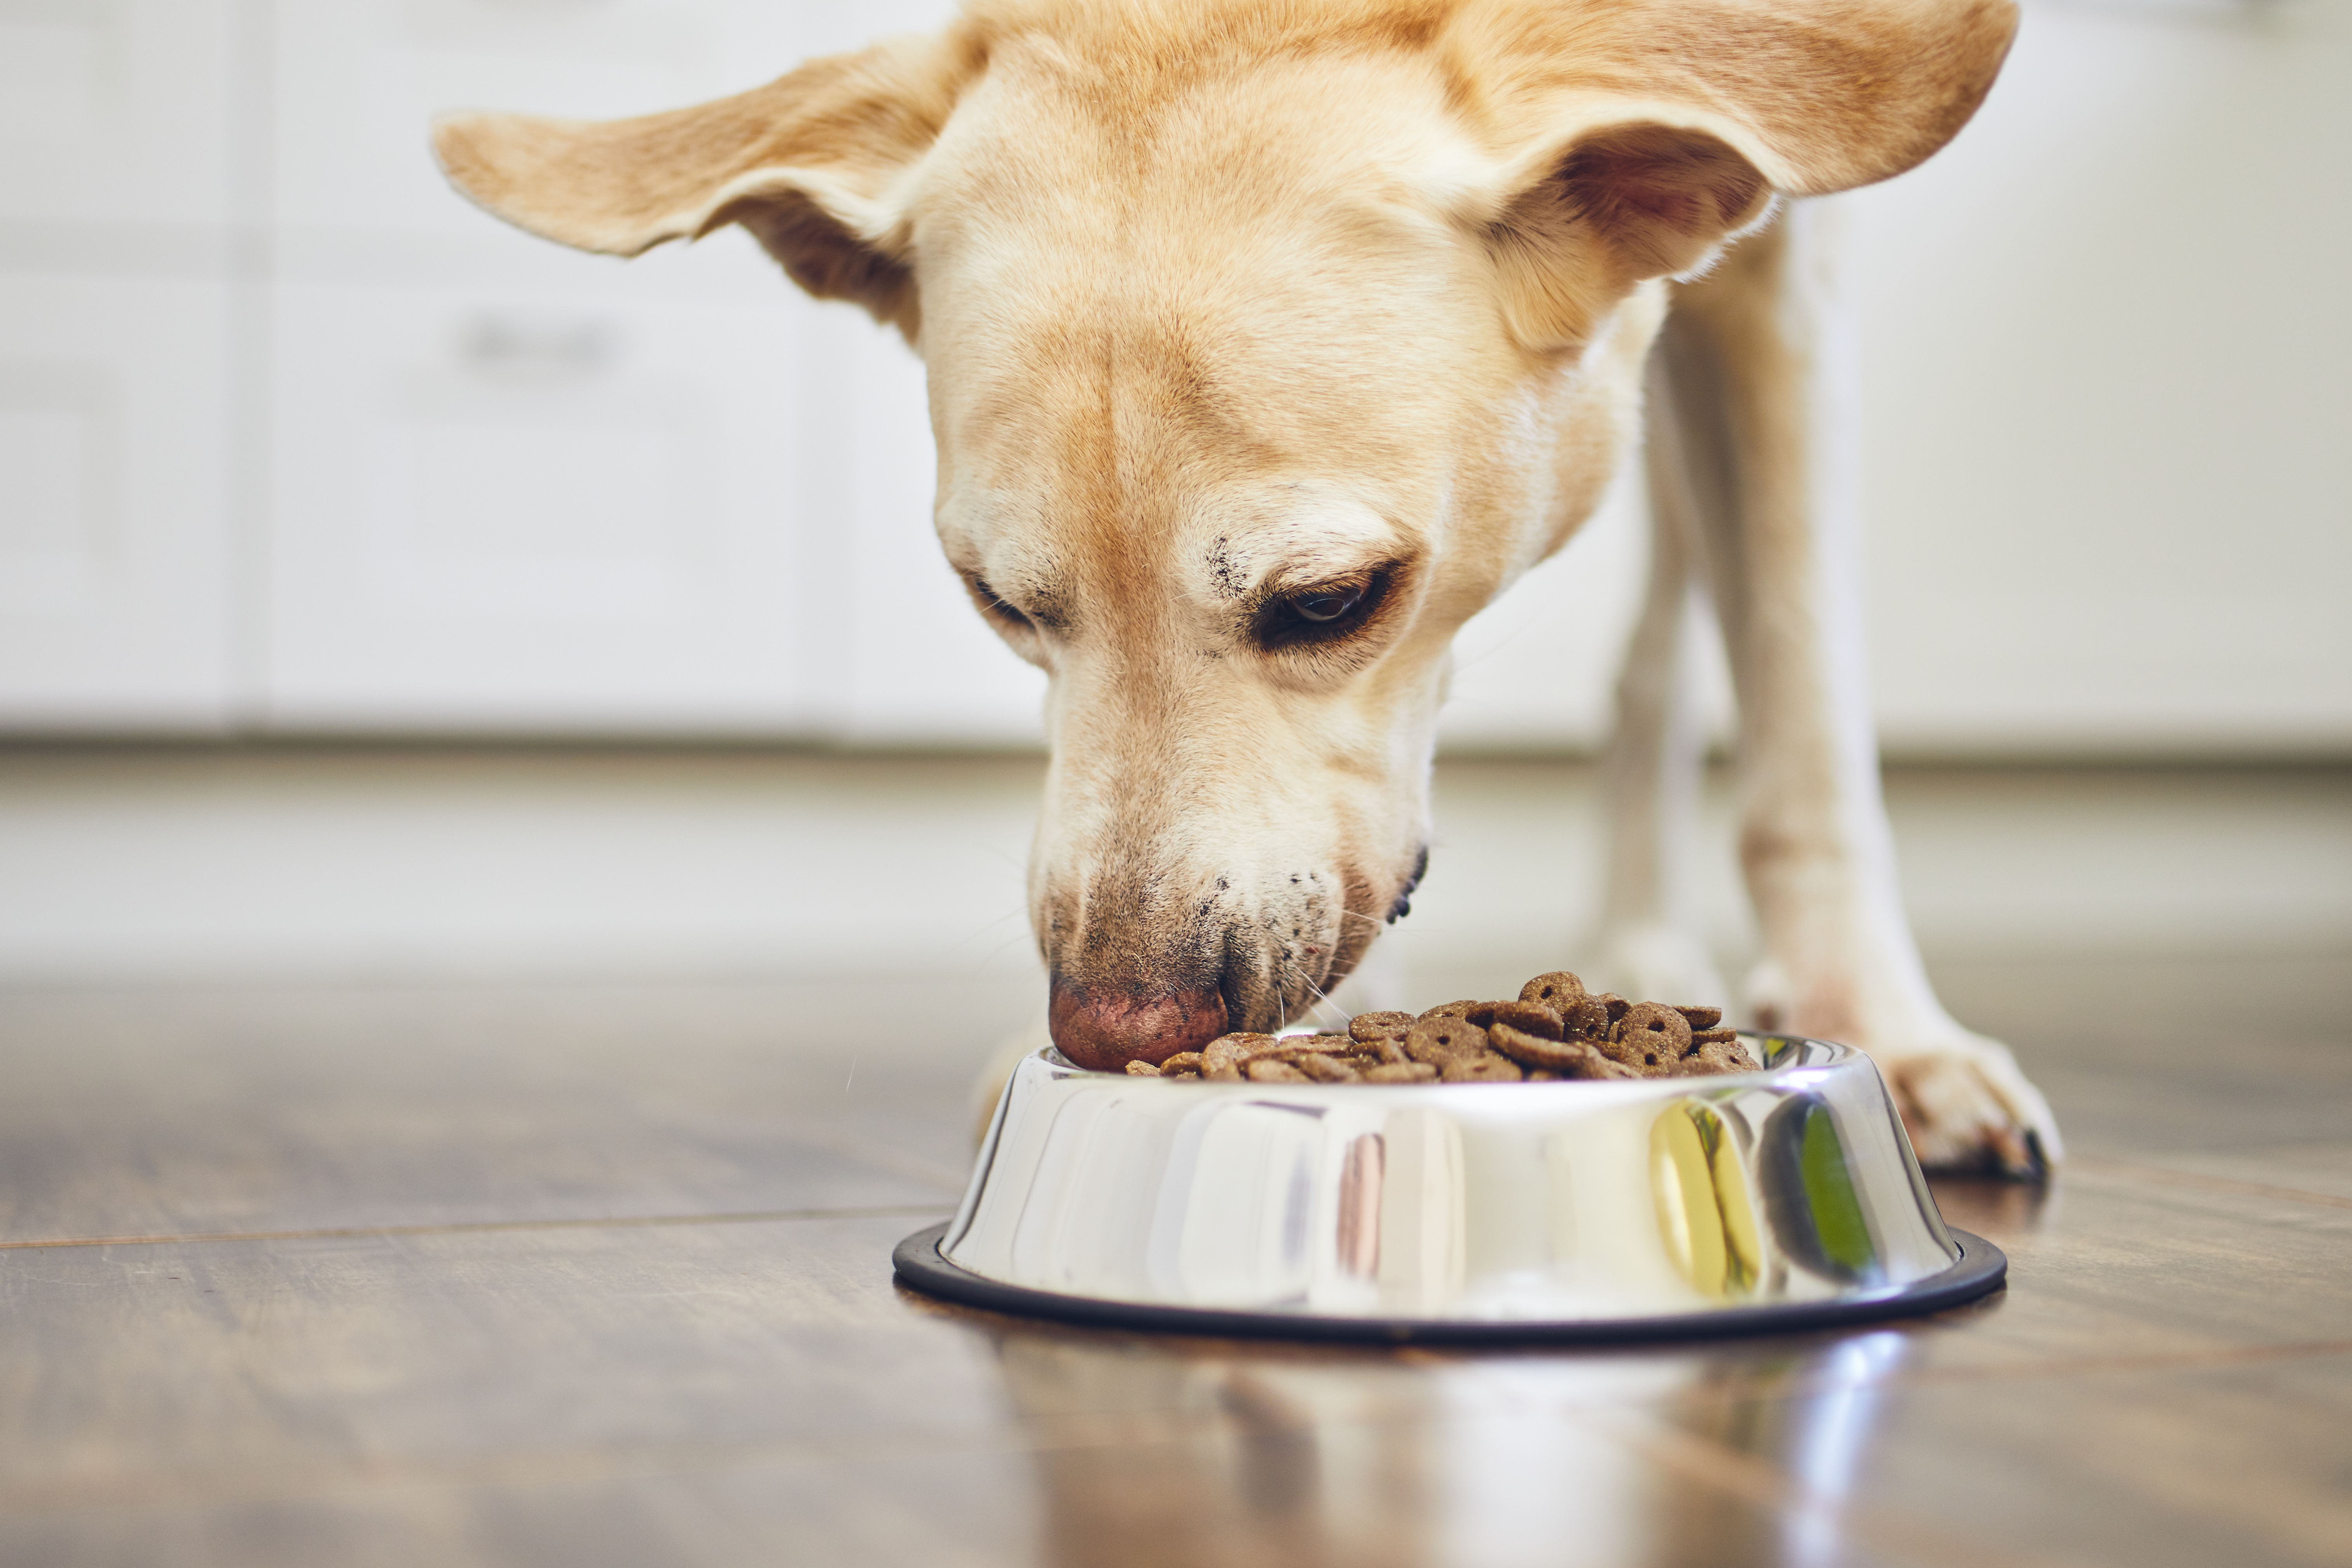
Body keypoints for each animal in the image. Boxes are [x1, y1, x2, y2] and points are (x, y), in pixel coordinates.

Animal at [437, 0, 2060, 1175]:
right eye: (996, 601)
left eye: (1333, 601)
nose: (1113, 1027)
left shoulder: (1789, 269)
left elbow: (1801, 702)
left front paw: (1880, 1032)